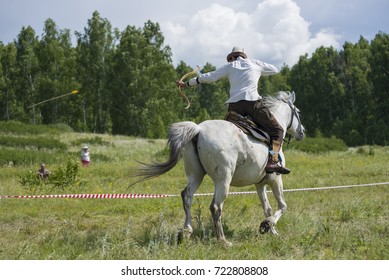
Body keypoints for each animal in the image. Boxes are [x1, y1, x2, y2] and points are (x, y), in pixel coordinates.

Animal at [133, 91, 304, 245]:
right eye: (298, 112)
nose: (302, 132)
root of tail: (198, 130)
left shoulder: (260, 184)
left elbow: (267, 208)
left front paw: (271, 230)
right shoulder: (275, 179)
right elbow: (282, 205)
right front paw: (268, 225)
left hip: (196, 175)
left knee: (187, 196)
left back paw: (186, 232)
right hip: (223, 180)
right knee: (216, 207)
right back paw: (222, 240)